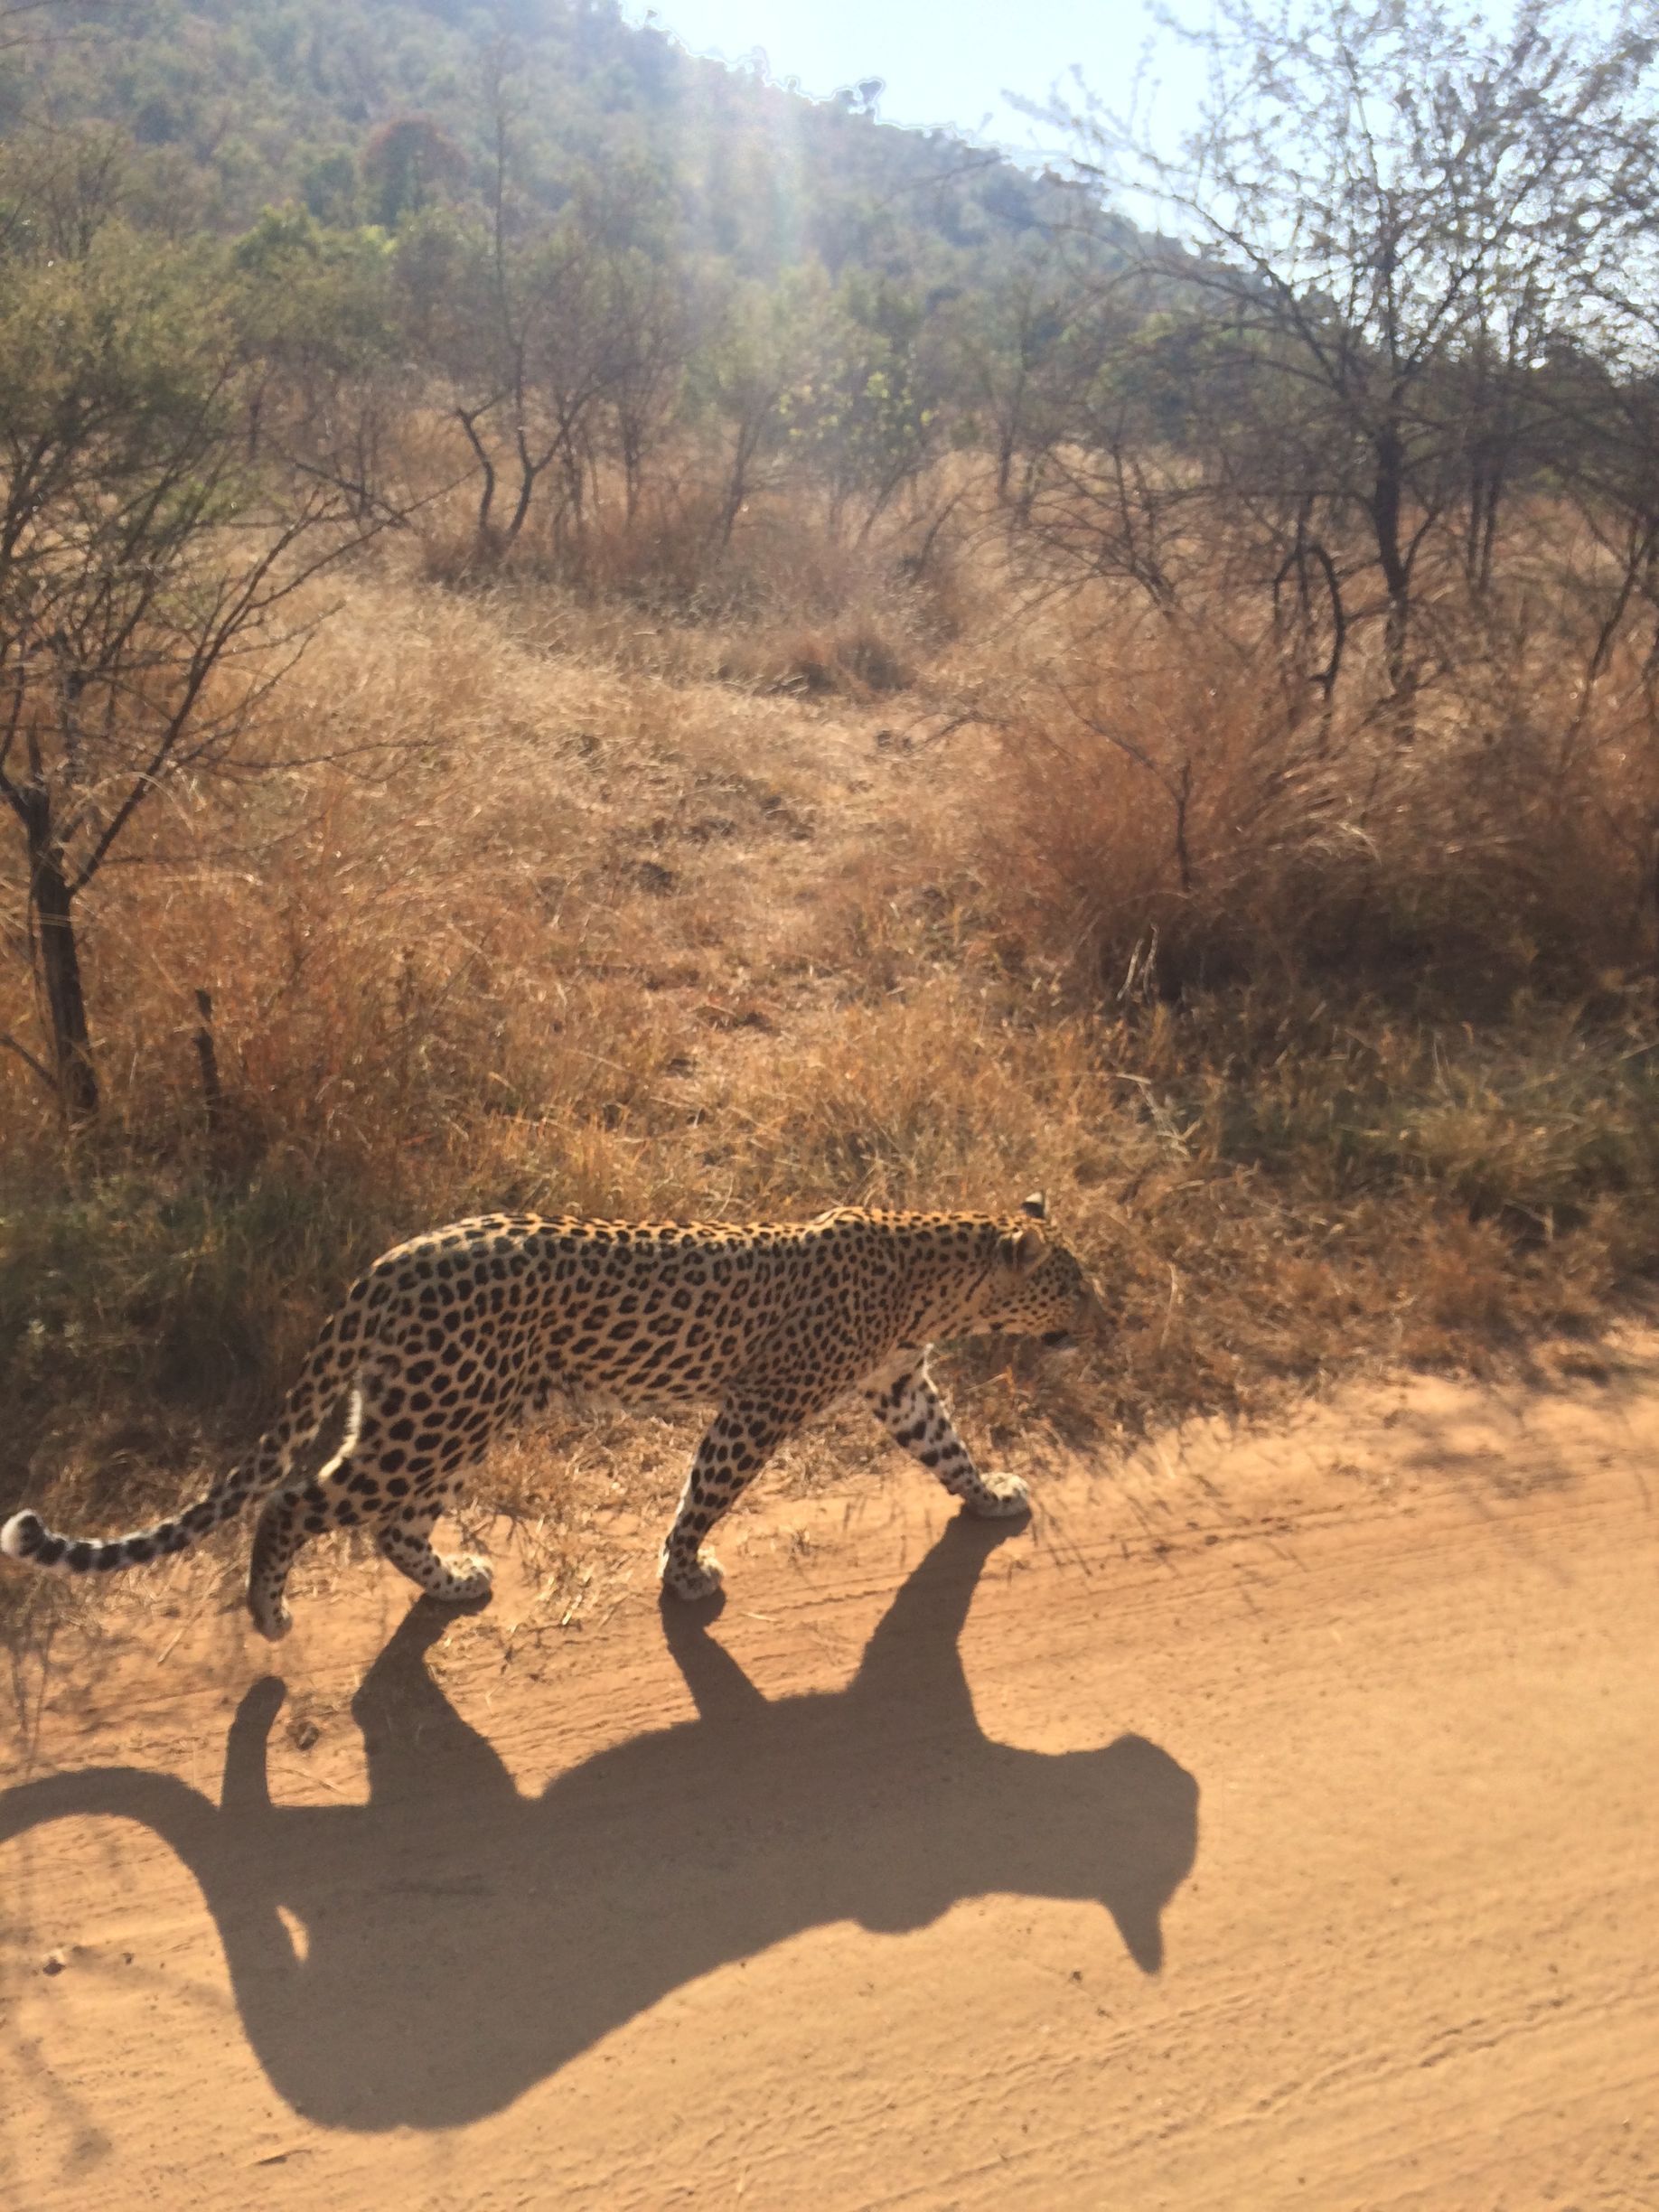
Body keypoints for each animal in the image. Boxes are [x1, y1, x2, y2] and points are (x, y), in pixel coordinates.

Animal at [2, 1194, 1098, 1640]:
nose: (1106, 1312)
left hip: (439, 1414)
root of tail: (390, 1261)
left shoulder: (898, 1386)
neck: (938, 1285)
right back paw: (269, 1615)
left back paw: (452, 1582)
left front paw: (990, 1493)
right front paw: (684, 1572)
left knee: (388, 1521)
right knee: (294, 1502)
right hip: (433, 1418)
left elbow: (947, 1448)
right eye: (1074, 1282)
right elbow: (705, 1492)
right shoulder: (759, 1405)